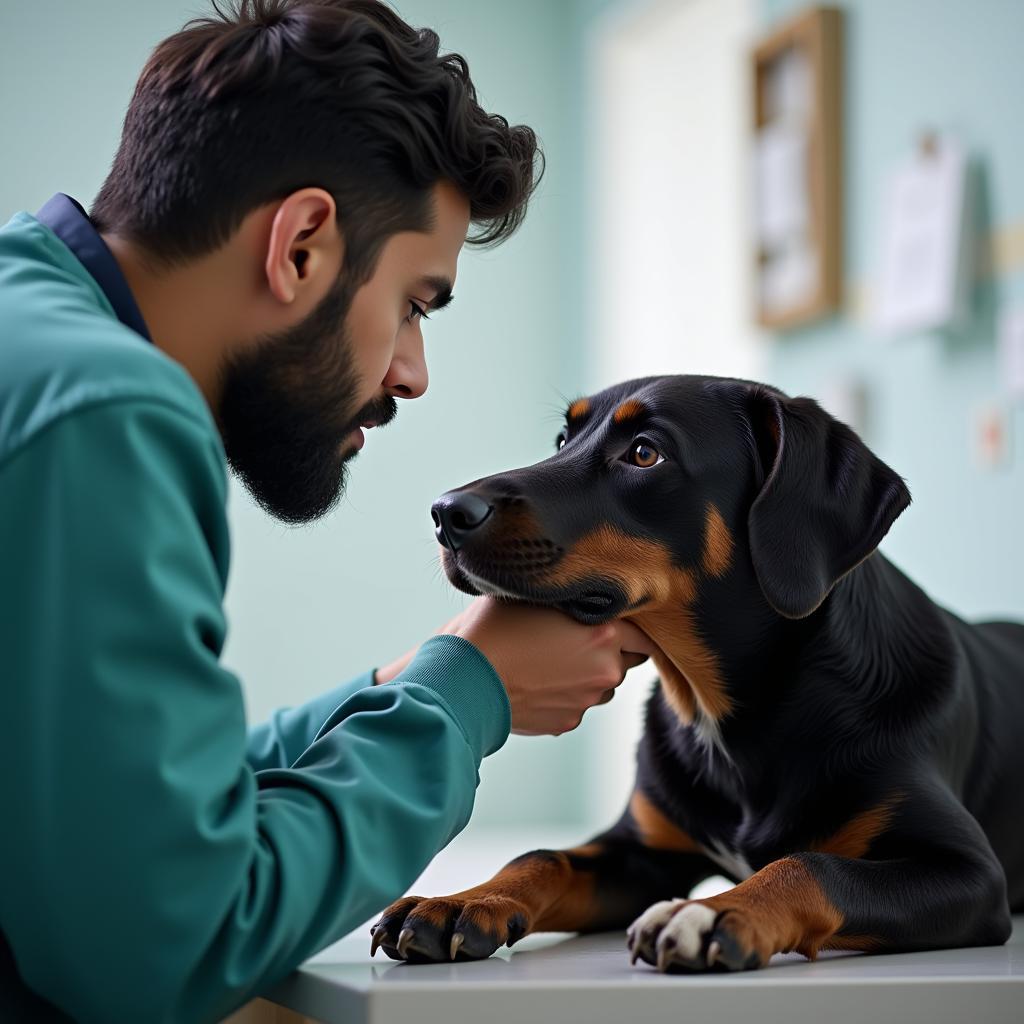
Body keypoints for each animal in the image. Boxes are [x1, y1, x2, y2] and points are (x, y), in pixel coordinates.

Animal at [370, 374, 1024, 966]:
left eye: (644, 453)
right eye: (562, 439)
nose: (445, 512)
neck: (723, 711)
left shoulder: (969, 873)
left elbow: (814, 866)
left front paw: (715, 912)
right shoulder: (642, 854)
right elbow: (541, 857)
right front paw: (462, 900)